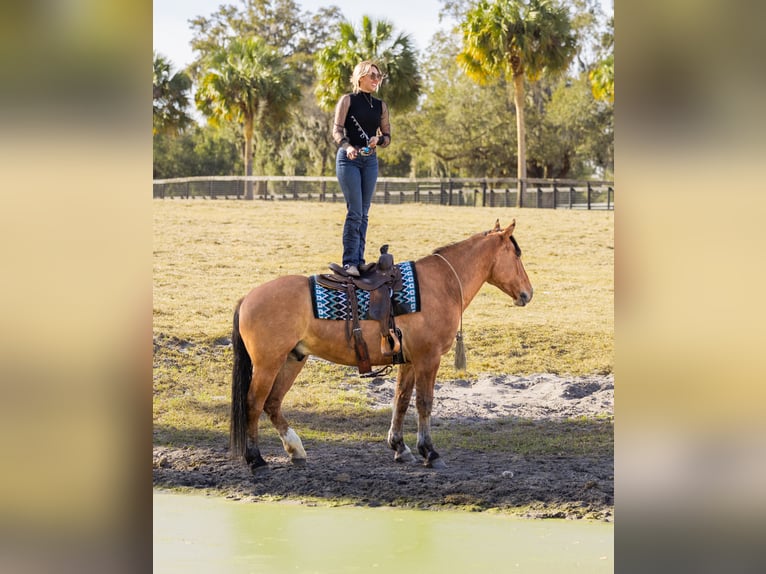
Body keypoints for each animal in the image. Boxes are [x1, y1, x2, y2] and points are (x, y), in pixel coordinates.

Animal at [230, 219, 533, 471]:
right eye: (517, 255)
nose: (528, 293)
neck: (441, 284)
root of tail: (247, 298)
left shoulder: (409, 361)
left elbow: (401, 400)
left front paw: (400, 447)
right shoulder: (428, 358)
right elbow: (424, 403)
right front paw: (430, 452)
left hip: (293, 359)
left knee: (272, 403)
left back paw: (295, 449)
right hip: (268, 364)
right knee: (254, 403)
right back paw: (255, 459)